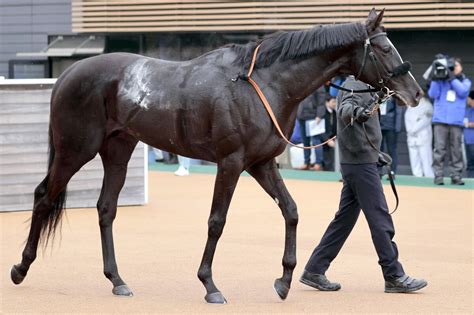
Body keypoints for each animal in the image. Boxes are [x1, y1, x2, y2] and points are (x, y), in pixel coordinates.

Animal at [11, 9, 420, 304]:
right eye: (385, 49)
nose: (414, 93)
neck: (262, 85)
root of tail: (68, 74)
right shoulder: (231, 163)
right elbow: (216, 222)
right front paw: (209, 285)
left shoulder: (261, 163)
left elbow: (290, 211)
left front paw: (285, 279)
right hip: (75, 149)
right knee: (44, 196)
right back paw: (21, 268)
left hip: (118, 150)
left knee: (106, 208)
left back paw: (117, 280)